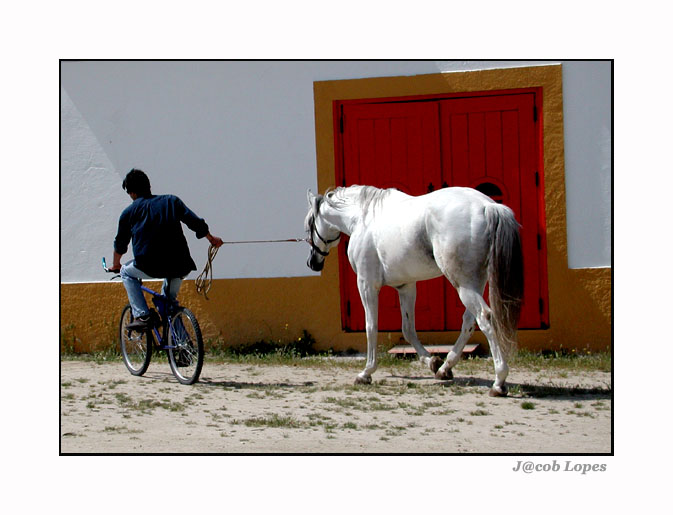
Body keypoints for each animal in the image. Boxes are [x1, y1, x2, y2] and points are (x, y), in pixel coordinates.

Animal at [306, 184, 524, 396]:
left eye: (309, 224)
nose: (312, 263)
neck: (362, 218)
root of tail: (487, 206)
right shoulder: (406, 287)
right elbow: (408, 329)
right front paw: (433, 362)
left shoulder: (367, 284)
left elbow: (371, 327)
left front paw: (366, 373)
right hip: (475, 283)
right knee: (469, 322)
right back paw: (445, 368)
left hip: (464, 285)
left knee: (485, 317)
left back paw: (499, 382)